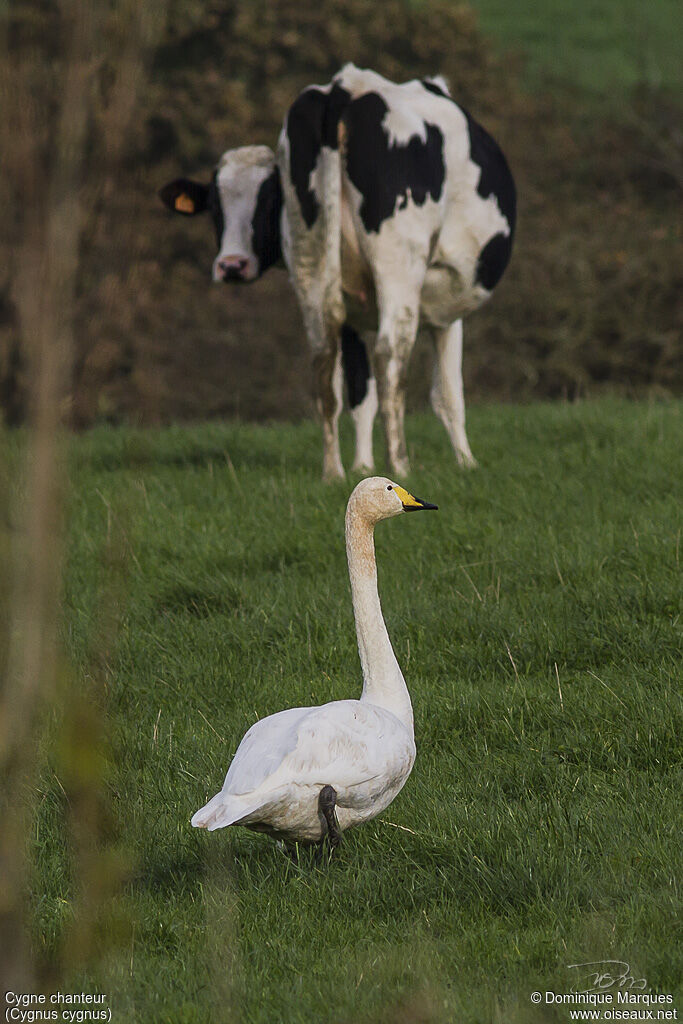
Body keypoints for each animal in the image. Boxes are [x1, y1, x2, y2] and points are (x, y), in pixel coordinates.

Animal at [160, 64, 516, 479]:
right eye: (215, 208)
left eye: (268, 202)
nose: (232, 265)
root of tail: (345, 86)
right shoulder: (445, 310)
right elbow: (447, 393)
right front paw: (466, 463)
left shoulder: (354, 315)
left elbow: (361, 395)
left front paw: (363, 465)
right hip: (398, 263)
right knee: (390, 357)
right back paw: (400, 466)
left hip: (314, 271)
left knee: (323, 360)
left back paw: (334, 471)